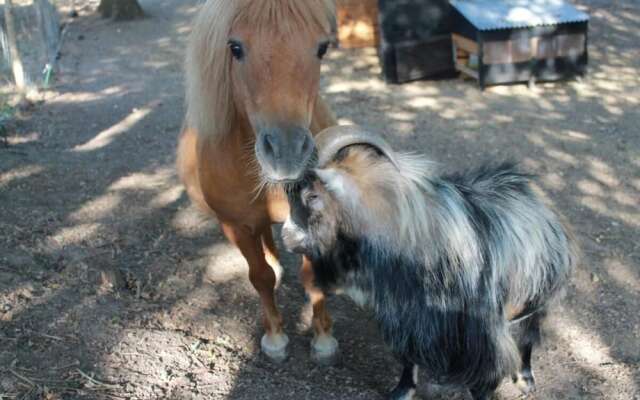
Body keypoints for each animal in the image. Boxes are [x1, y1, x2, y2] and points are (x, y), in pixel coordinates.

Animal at [282, 126, 576, 398]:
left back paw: (526, 378)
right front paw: (402, 390)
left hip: (540, 297)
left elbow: (485, 380)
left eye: (313, 196)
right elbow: (408, 357)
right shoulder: (408, 317)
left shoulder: (482, 339)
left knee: (529, 336)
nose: (286, 236)